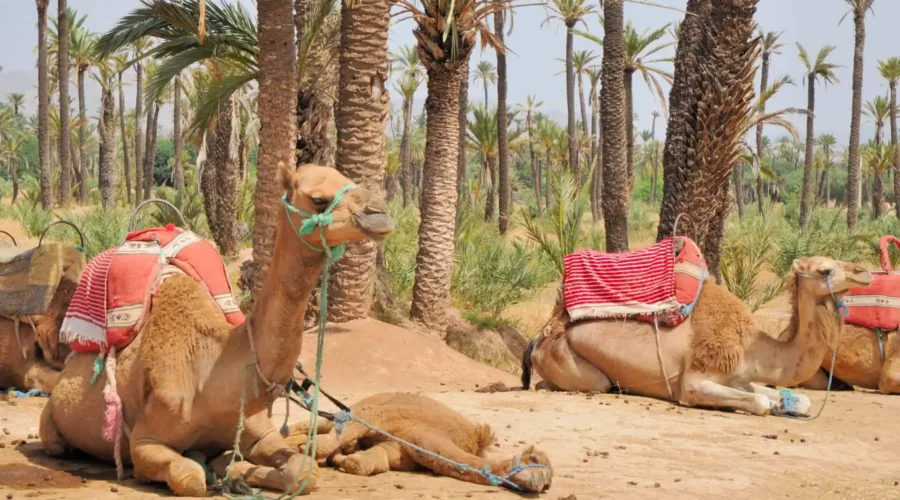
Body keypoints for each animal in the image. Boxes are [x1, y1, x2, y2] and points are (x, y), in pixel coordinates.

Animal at [39, 164, 394, 497]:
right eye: (319, 199)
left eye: (347, 178)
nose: (381, 213)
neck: (213, 374)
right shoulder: (144, 441)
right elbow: (190, 477)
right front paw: (221, 470)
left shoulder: (260, 432)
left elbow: (304, 471)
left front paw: (233, 469)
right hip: (51, 422)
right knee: (56, 443)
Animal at [282, 393, 552, 493]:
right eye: (533, 459)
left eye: (549, 481)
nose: (541, 484)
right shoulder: (379, 418)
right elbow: (336, 439)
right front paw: (306, 451)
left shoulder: (397, 449)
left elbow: (365, 464)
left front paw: (341, 459)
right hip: (362, 407)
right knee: (316, 424)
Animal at [522, 256, 872, 416]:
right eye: (825, 270)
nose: (865, 272)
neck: (753, 348)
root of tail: (541, 335)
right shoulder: (696, 380)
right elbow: (759, 402)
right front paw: (768, 406)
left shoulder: (739, 377)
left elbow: (798, 399)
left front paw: (784, 404)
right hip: (571, 361)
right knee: (586, 383)